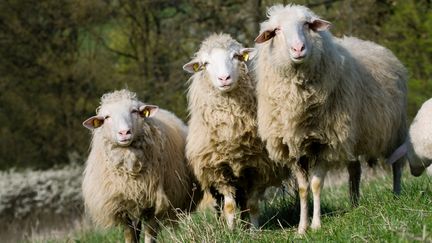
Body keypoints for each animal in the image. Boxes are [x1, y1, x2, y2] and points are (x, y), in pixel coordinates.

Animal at [81, 89, 202, 243]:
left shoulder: (154, 204)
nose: (124, 132)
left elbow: (150, 235)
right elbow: (130, 236)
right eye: (107, 117)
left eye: (134, 111)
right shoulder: (122, 207)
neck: (132, 173)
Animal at [183, 33, 290, 230]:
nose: (224, 78)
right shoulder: (219, 172)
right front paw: (232, 231)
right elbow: (230, 206)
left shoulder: (257, 168)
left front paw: (254, 231)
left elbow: (253, 205)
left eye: (235, 56)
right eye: (206, 63)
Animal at [253, 4, 408, 234]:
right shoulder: (293, 148)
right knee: (355, 169)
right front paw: (302, 228)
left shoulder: (325, 143)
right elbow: (303, 189)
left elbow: (316, 185)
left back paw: (396, 195)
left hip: (394, 130)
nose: (298, 49)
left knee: (396, 164)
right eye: (277, 30)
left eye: (307, 24)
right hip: (352, 135)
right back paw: (354, 204)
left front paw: (316, 225)